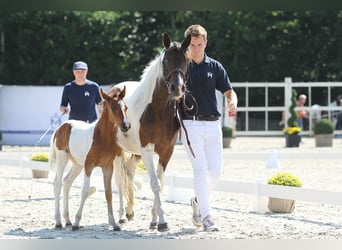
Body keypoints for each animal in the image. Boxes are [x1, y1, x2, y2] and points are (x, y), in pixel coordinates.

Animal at [51, 86, 133, 230]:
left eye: (126, 107)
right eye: (113, 107)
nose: (126, 126)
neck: (101, 137)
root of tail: (60, 127)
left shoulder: (107, 167)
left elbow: (108, 193)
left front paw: (114, 223)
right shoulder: (89, 166)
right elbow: (84, 191)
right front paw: (77, 222)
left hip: (77, 165)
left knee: (67, 182)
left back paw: (67, 220)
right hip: (62, 159)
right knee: (57, 184)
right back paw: (58, 221)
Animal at [114, 33, 191, 232]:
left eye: (186, 60)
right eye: (166, 60)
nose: (177, 88)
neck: (158, 110)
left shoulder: (166, 151)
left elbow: (161, 184)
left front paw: (155, 219)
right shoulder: (147, 150)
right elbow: (155, 184)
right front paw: (162, 221)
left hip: (135, 153)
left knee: (129, 172)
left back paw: (129, 211)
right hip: (118, 152)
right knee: (119, 180)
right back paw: (121, 216)